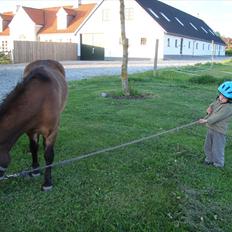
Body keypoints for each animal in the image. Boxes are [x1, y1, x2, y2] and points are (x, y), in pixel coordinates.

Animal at [0, 59, 68, 190]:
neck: (40, 101)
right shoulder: (30, 131)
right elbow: (33, 148)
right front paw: (35, 170)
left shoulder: (52, 131)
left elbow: (48, 155)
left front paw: (47, 182)